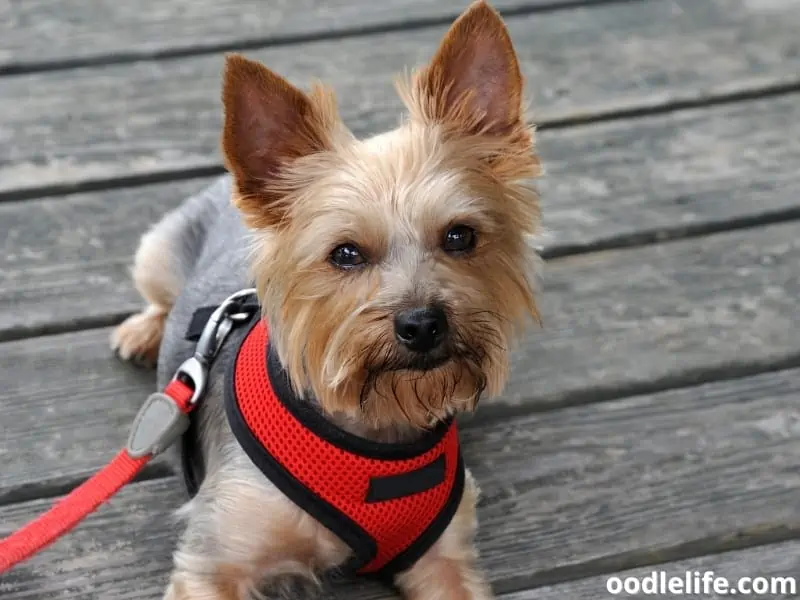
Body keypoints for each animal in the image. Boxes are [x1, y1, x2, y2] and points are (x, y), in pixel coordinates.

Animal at [109, 2, 540, 596]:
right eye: (346, 254)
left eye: (460, 236)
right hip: (157, 249)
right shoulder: (213, 559)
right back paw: (143, 332)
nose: (422, 323)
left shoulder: (444, 556)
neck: (373, 429)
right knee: (157, 293)